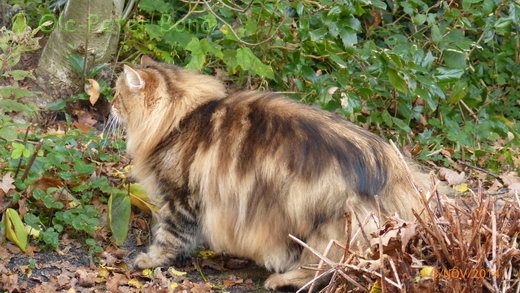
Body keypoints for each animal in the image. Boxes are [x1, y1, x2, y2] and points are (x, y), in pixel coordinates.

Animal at [111, 55, 428, 290]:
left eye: (118, 95)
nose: (108, 105)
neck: (182, 118)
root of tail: (391, 168)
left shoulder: (181, 196)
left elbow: (169, 237)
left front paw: (149, 260)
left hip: (322, 226)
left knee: (325, 266)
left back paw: (280, 280)